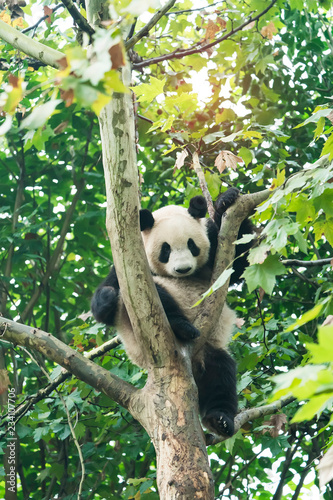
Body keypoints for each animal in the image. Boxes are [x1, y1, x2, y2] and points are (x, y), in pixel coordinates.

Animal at [89, 188, 250, 438]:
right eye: (166, 249)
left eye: (192, 245)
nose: (183, 269)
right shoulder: (129, 269)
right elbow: (103, 307)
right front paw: (106, 296)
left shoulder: (214, 250)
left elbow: (239, 263)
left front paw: (226, 200)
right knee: (159, 294)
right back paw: (181, 327)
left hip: (209, 347)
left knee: (221, 373)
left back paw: (219, 420)